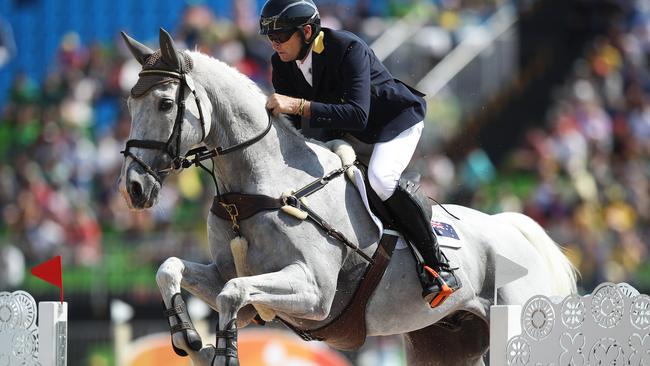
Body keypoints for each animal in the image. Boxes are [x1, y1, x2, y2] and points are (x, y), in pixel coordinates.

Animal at [117, 28, 576, 366]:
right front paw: (190, 339)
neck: (257, 190)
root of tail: (512, 230)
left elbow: (233, 292)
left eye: (164, 104)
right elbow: (172, 269)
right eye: (129, 104)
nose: (134, 189)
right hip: (443, 343)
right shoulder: (229, 279)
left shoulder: (314, 293)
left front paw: (223, 352)